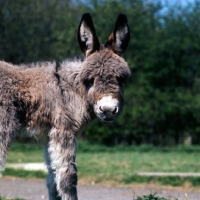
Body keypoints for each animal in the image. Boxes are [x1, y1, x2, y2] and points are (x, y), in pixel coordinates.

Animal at [0, 13, 131, 199]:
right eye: (90, 80)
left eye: (121, 79)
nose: (107, 110)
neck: (68, 90)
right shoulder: (63, 130)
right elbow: (67, 178)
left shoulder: (48, 136)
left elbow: (52, 178)